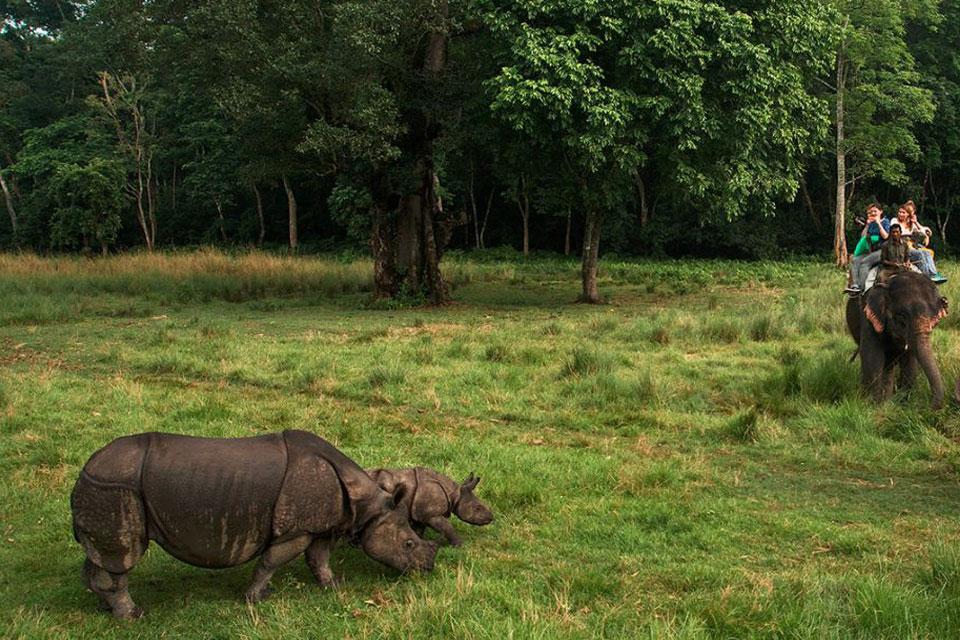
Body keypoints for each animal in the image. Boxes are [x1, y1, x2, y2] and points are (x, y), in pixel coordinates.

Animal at [71, 430, 438, 620]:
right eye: (408, 544)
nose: (428, 568)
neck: (367, 503)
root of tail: (84, 471)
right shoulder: (296, 530)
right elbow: (271, 561)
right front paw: (255, 598)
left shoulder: (322, 524)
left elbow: (319, 558)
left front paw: (334, 586)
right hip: (115, 487)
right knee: (123, 557)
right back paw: (133, 615)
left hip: (108, 486)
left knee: (101, 559)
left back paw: (105, 607)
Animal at [364, 468, 492, 548]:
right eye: (478, 508)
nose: (491, 518)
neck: (454, 493)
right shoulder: (432, 515)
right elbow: (447, 527)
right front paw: (460, 546)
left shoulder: (420, 514)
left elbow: (418, 531)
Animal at [844, 272, 948, 410]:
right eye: (901, 320)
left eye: (934, 321)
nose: (927, 406)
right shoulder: (869, 317)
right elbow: (872, 357)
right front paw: (873, 405)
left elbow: (910, 361)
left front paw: (902, 404)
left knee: (889, 364)